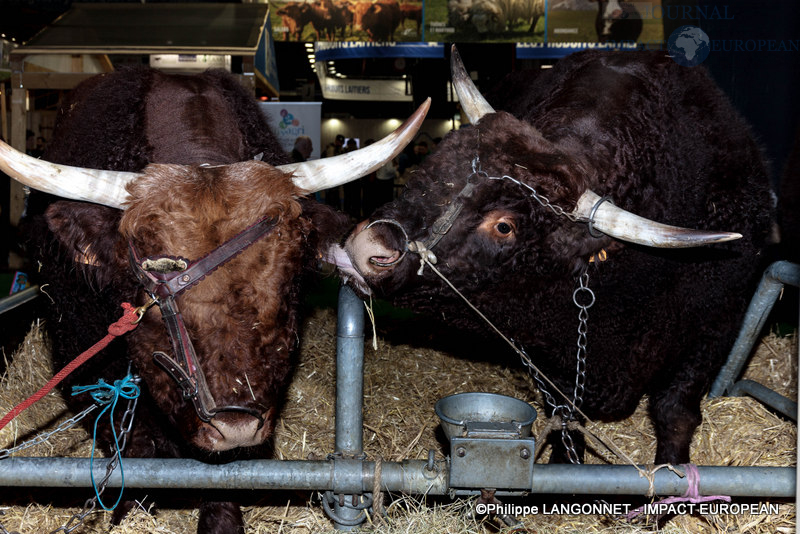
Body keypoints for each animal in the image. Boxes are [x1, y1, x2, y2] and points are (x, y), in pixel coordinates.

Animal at [1, 68, 432, 534]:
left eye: (290, 280)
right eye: (154, 281)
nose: (236, 425)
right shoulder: (86, 366)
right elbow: (131, 443)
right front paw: (129, 507)